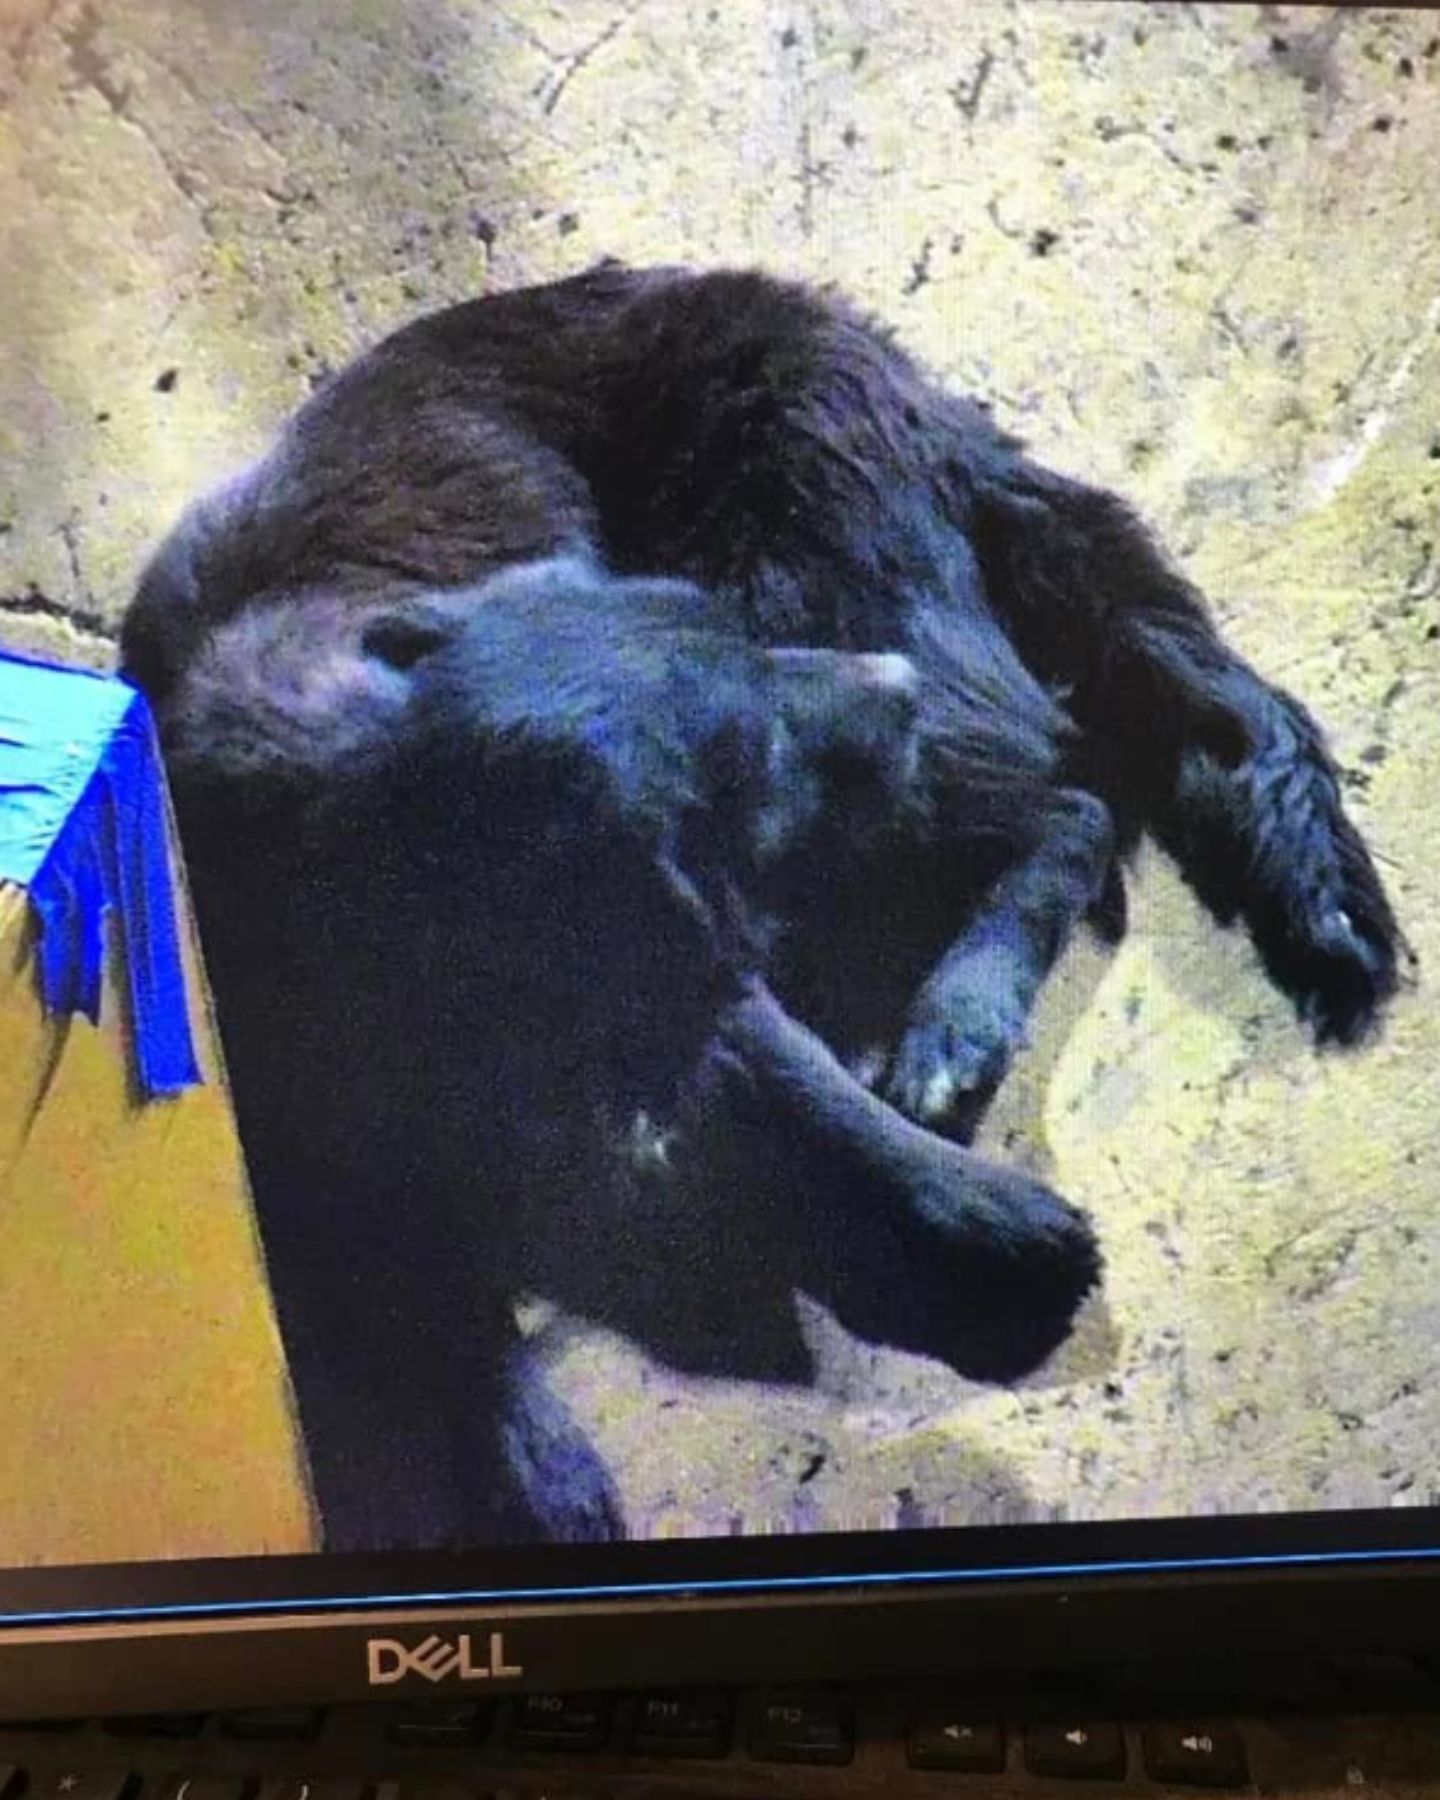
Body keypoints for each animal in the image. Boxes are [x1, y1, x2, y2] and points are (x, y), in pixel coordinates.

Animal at [124, 257, 1396, 1548]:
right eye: (752, 739)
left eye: (738, 656)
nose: (886, 687)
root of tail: (910, 389)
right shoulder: (306, 1140)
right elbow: (431, 1305)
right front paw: (531, 1457)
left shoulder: (701, 953)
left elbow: (823, 1103)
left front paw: (989, 1220)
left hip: (832, 623)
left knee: (1070, 805)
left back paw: (960, 1017)